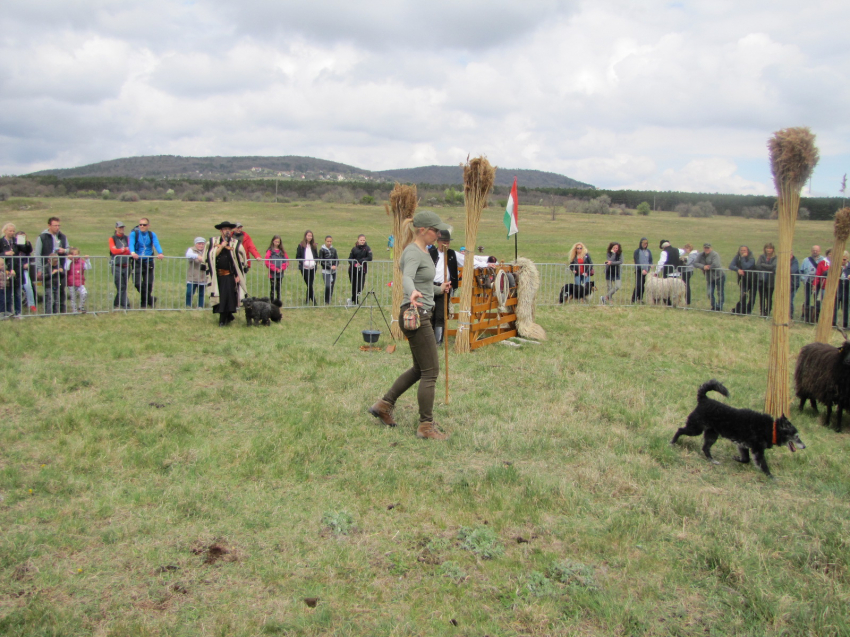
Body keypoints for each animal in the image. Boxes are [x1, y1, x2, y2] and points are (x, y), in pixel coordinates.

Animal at [668, 378, 800, 476]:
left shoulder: (743, 445)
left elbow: (746, 459)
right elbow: (763, 465)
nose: (803, 446)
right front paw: (771, 477)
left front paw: (736, 459)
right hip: (696, 428)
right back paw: (672, 442)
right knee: (680, 430)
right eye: (796, 436)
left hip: (711, 434)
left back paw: (712, 460)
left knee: (705, 448)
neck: (771, 428)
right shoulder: (757, 450)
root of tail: (704, 399)